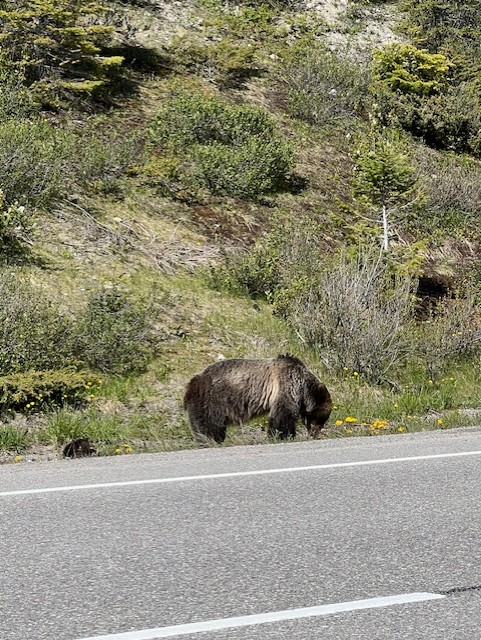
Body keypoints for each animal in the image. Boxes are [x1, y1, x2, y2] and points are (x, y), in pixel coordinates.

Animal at [183, 352, 330, 442]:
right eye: (321, 419)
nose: (314, 434)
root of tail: (191, 384)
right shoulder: (286, 386)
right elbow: (282, 416)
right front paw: (281, 436)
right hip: (212, 402)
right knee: (209, 426)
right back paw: (210, 440)